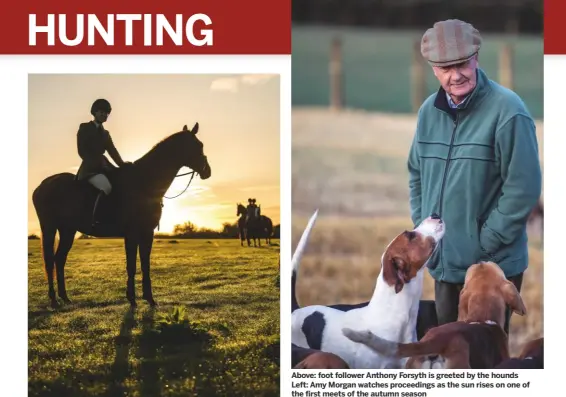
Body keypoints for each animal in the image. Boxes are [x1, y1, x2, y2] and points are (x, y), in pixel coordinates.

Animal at [31, 122, 213, 308]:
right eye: (199, 145)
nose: (207, 171)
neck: (145, 182)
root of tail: (42, 185)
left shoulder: (147, 232)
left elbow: (145, 264)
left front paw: (149, 298)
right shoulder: (131, 233)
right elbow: (131, 265)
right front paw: (132, 298)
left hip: (68, 230)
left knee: (59, 259)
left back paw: (65, 297)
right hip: (49, 227)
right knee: (50, 261)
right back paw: (54, 300)